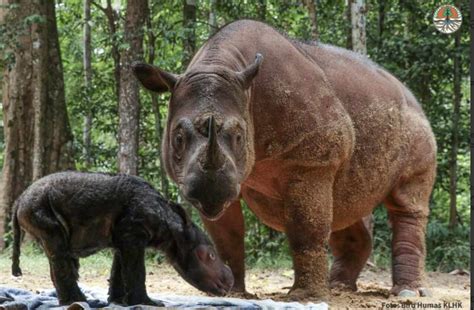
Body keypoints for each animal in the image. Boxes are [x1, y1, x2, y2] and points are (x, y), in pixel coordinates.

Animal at [11, 172, 233, 306]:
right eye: (210, 256)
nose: (230, 282)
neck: (172, 228)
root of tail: (19, 200)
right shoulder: (133, 234)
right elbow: (137, 270)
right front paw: (148, 303)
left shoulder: (124, 237)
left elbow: (119, 269)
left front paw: (118, 302)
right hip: (38, 207)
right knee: (58, 249)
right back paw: (78, 302)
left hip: (36, 207)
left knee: (56, 252)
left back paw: (75, 302)